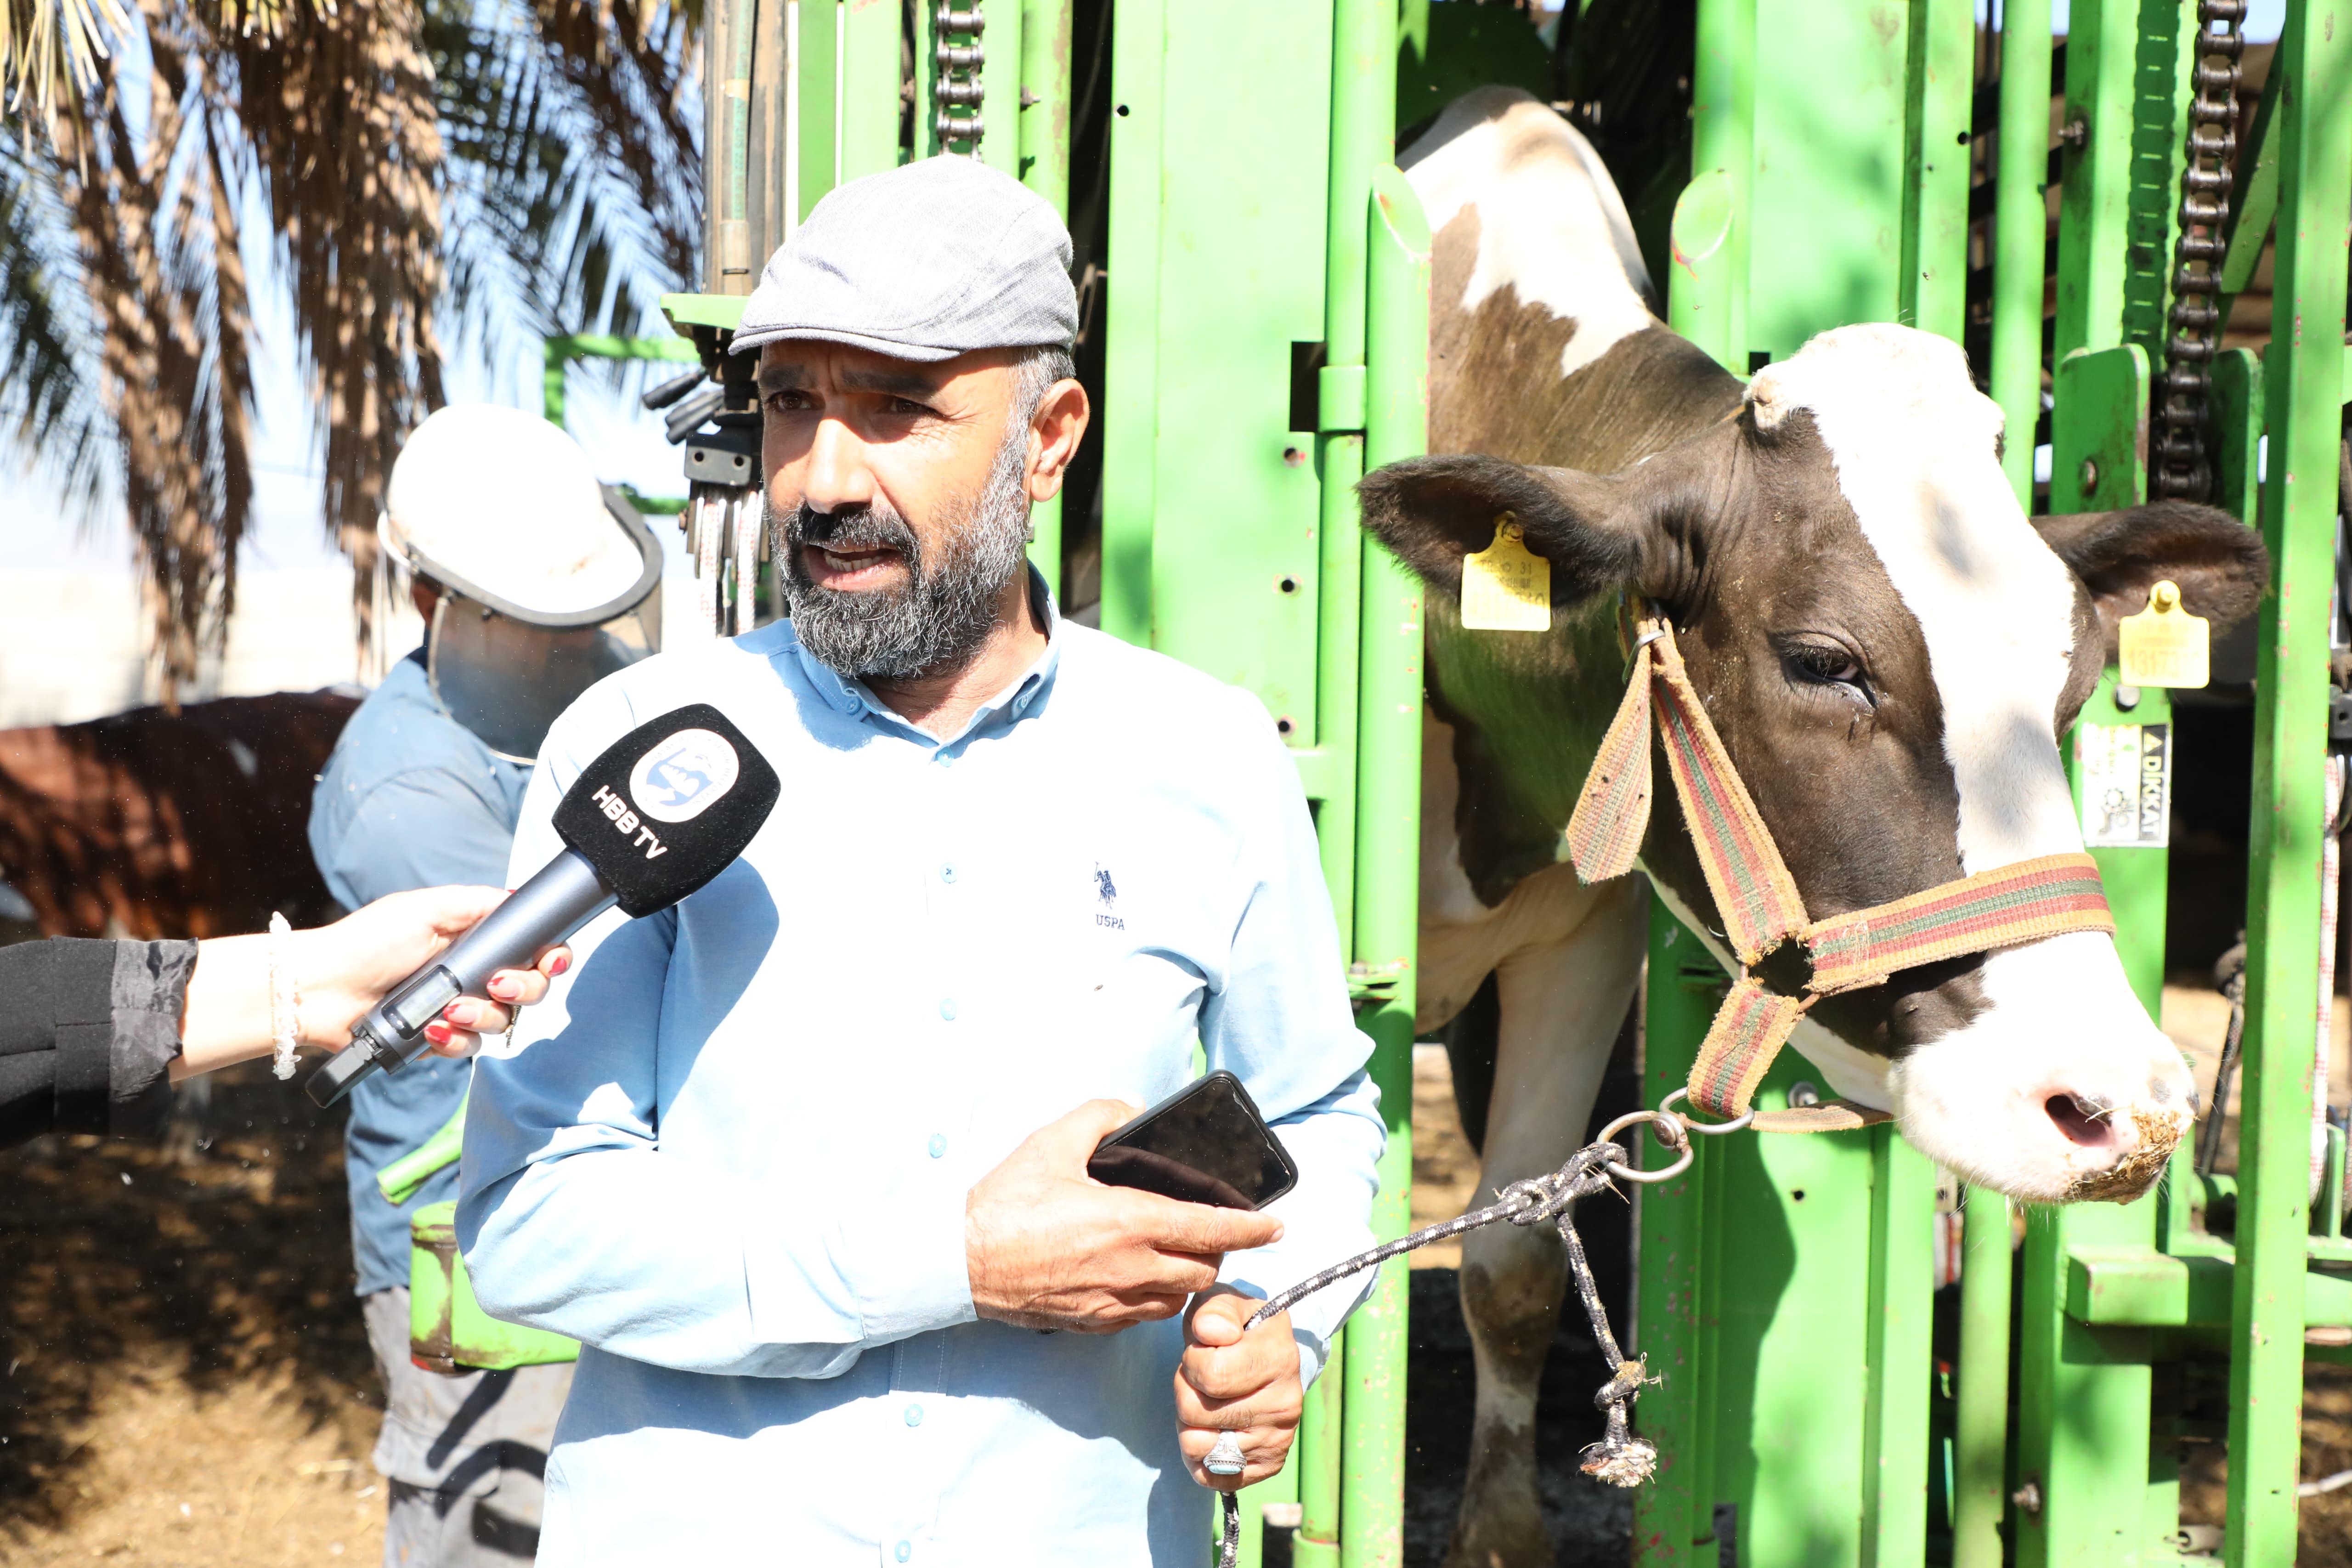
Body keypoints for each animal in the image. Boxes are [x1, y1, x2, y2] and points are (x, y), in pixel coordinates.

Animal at [1374, 89, 2267, 1568]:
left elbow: (1510, 1262)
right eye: (1823, 661)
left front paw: (1497, 1532)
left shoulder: (1586, 931)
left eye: (2077, 674)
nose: (2121, 1107)